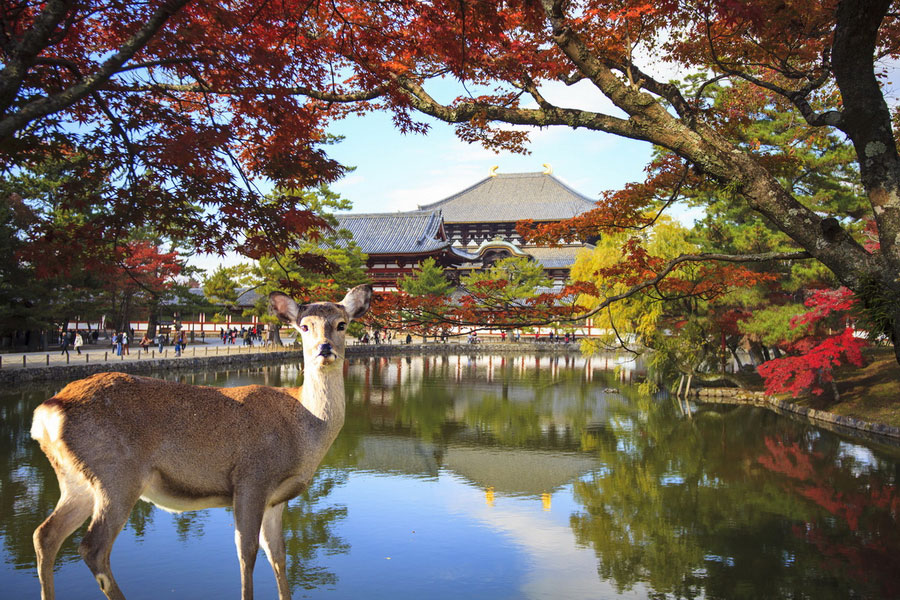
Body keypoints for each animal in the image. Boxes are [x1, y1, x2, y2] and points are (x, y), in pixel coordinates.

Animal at [29, 284, 370, 600]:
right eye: (304, 326)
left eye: (342, 324)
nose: (325, 349)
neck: (303, 430)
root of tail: (47, 412)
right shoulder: (251, 478)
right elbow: (246, 552)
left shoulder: (277, 498)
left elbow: (278, 555)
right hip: (117, 474)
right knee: (93, 547)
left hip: (76, 479)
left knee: (45, 534)